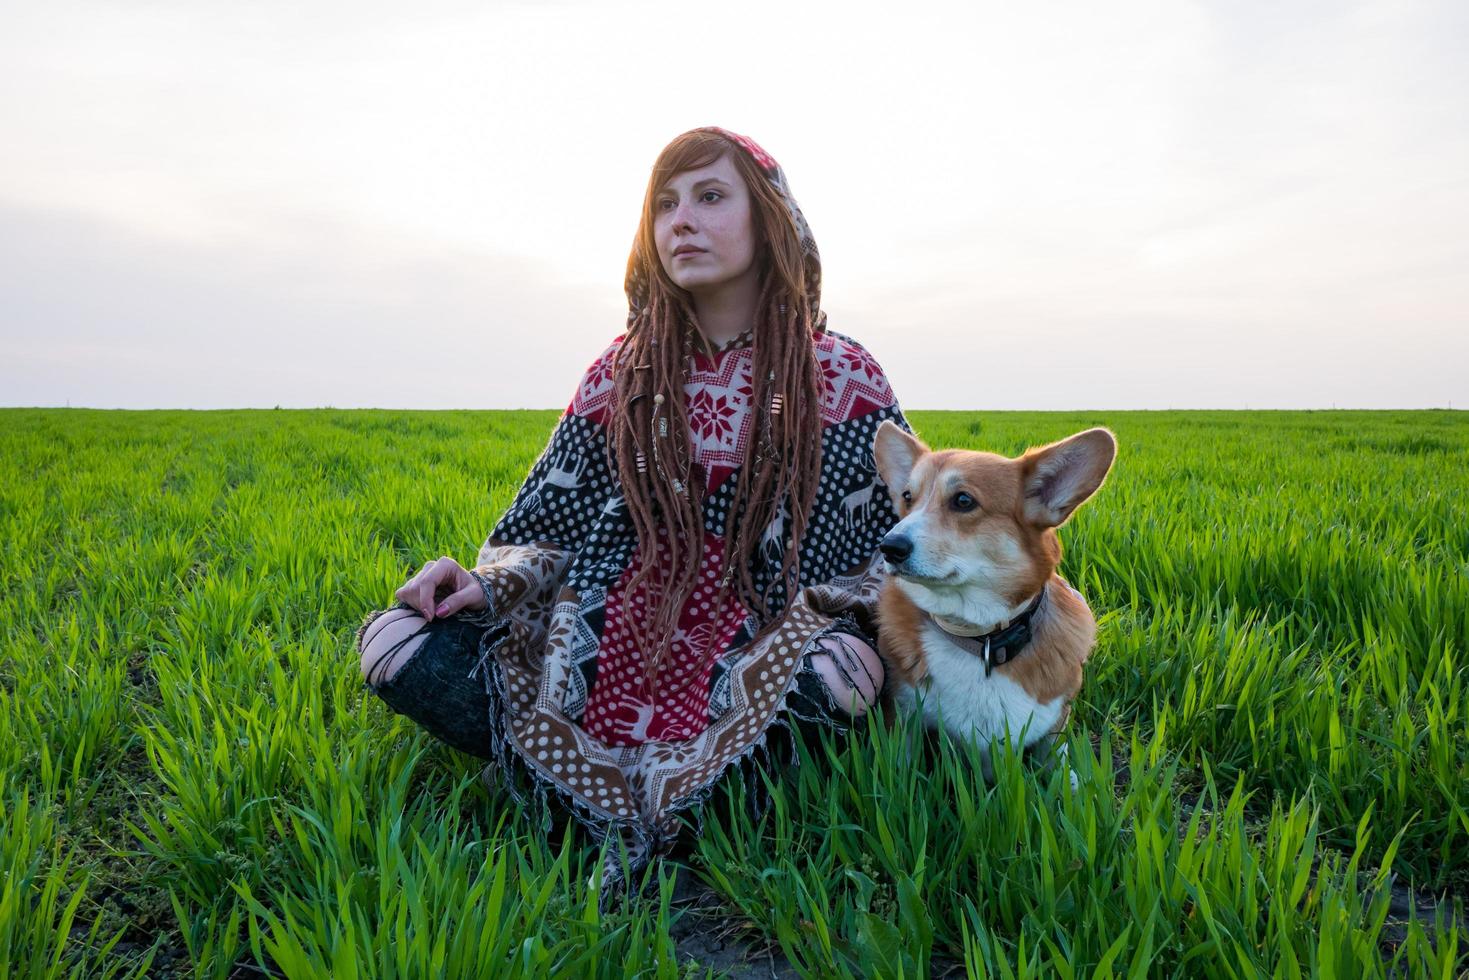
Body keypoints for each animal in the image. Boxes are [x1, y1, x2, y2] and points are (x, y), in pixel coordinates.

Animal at [869, 423, 1110, 781]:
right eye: (908, 497)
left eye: (963, 500)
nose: (889, 547)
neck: (980, 638)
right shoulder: (902, 716)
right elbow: (900, 771)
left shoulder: (1055, 723)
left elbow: (1060, 766)